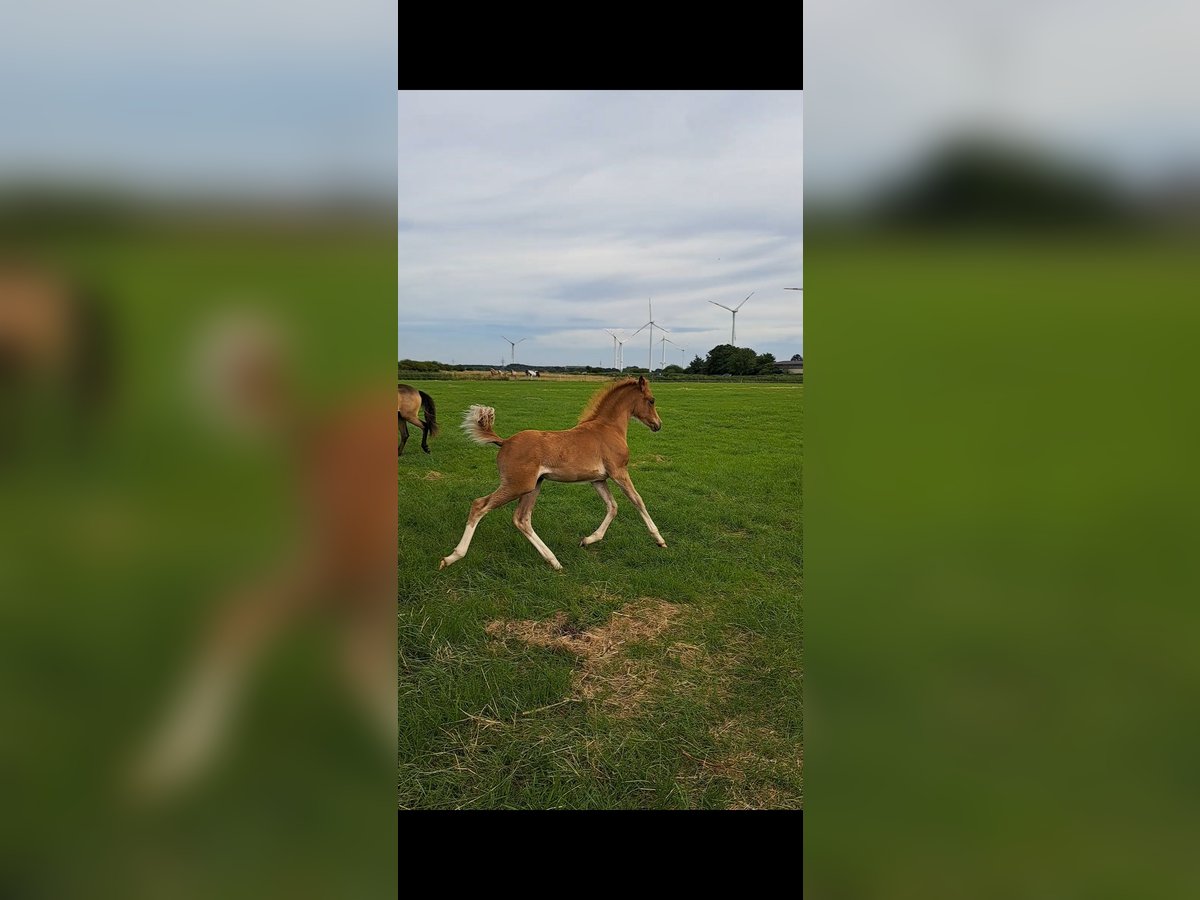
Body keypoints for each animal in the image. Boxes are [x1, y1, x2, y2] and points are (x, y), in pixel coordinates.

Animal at [441, 374, 667, 571]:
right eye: (651, 400)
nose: (658, 425)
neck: (608, 428)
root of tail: (504, 442)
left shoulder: (598, 479)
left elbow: (612, 506)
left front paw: (588, 540)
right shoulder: (619, 472)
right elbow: (637, 501)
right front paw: (660, 540)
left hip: (533, 486)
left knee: (522, 518)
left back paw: (554, 561)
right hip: (517, 485)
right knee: (480, 505)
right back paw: (452, 557)